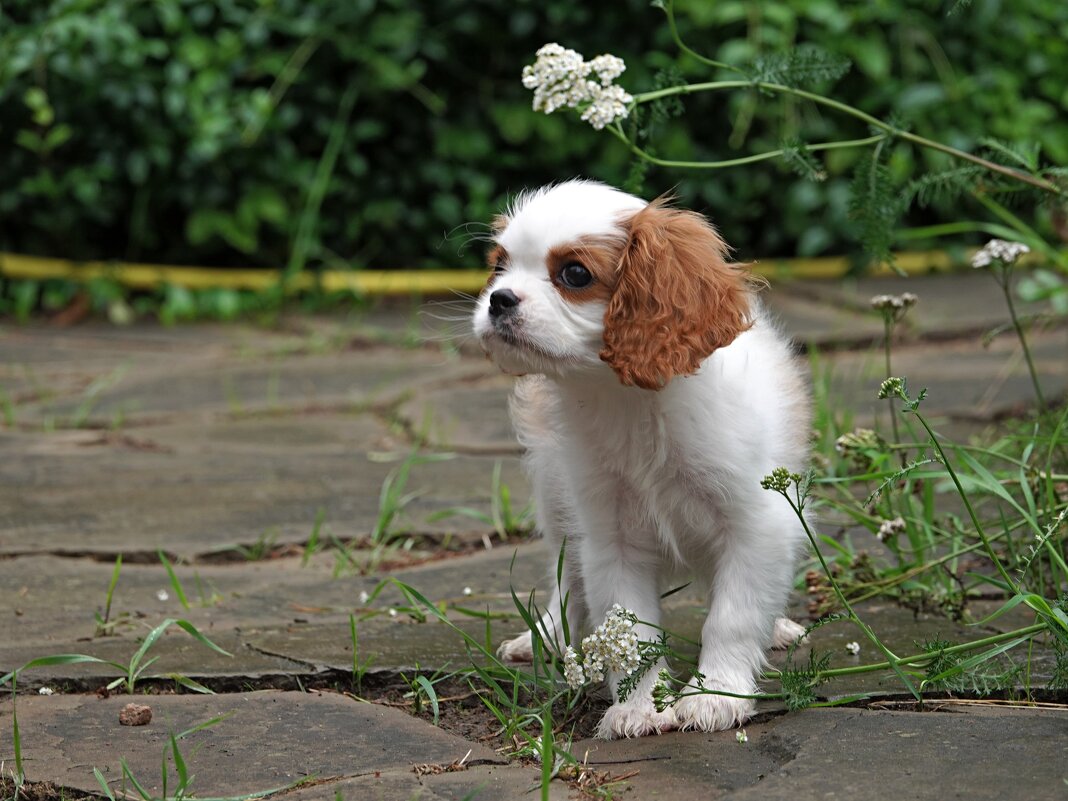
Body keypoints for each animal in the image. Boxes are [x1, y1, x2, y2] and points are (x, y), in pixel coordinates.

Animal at [472, 180, 803, 739]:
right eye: (499, 267)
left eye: (574, 274)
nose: (498, 299)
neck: (627, 399)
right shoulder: (611, 538)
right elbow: (627, 630)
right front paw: (639, 706)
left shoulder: (758, 523)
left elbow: (733, 615)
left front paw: (717, 694)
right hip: (556, 499)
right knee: (566, 581)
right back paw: (547, 635)